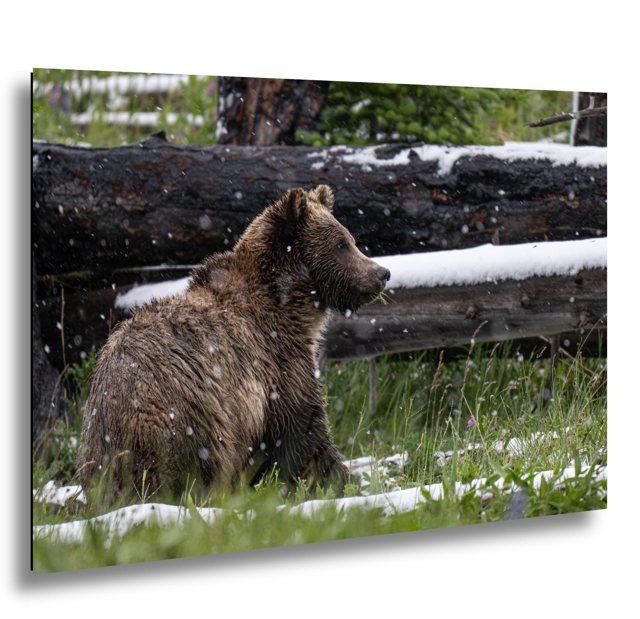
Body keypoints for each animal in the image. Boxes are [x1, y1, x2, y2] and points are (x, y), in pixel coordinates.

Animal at [76, 185, 390, 502]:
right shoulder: (276, 366)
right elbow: (305, 433)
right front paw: (344, 480)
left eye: (351, 239)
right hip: (190, 415)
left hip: (98, 439)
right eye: (341, 244)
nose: (382, 273)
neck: (286, 306)